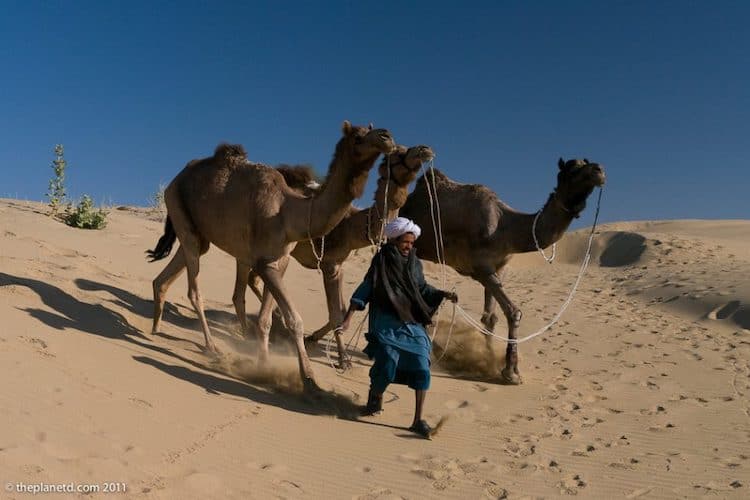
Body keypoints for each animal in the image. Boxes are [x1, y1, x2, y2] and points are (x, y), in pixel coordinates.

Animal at [146, 122, 396, 391]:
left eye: (372, 128)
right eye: (358, 137)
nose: (387, 136)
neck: (289, 212)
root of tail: (174, 180)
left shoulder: (280, 260)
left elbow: (265, 318)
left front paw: (264, 364)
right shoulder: (264, 263)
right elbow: (294, 320)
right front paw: (310, 380)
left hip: (197, 231)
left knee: (166, 276)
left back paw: (155, 329)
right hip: (179, 208)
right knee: (194, 290)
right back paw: (211, 347)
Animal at [243, 145, 434, 365]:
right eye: (399, 153)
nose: (425, 150)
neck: (350, 227)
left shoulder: (339, 265)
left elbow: (342, 310)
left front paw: (313, 338)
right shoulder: (329, 265)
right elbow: (335, 313)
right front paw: (343, 359)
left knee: (255, 279)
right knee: (255, 277)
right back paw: (277, 321)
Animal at [398, 158, 606, 384]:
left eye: (586, 162)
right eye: (573, 169)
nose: (599, 170)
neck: (505, 228)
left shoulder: (499, 268)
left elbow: (490, 317)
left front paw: (488, 358)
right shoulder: (482, 268)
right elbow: (513, 312)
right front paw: (511, 372)